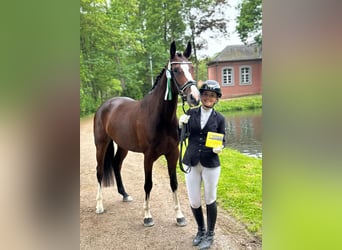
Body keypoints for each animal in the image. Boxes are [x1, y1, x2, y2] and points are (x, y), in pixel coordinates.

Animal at [93, 41, 200, 227]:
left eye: (191, 67)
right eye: (176, 70)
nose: (194, 97)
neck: (159, 118)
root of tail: (104, 106)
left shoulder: (173, 154)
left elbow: (174, 183)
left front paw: (179, 216)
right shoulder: (148, 156)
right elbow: (148, 184)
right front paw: (147, 216)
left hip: (123, 146)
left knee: (116, 165)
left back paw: (124, 194)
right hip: (101, 144)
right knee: (99, 171)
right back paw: (99, 206)